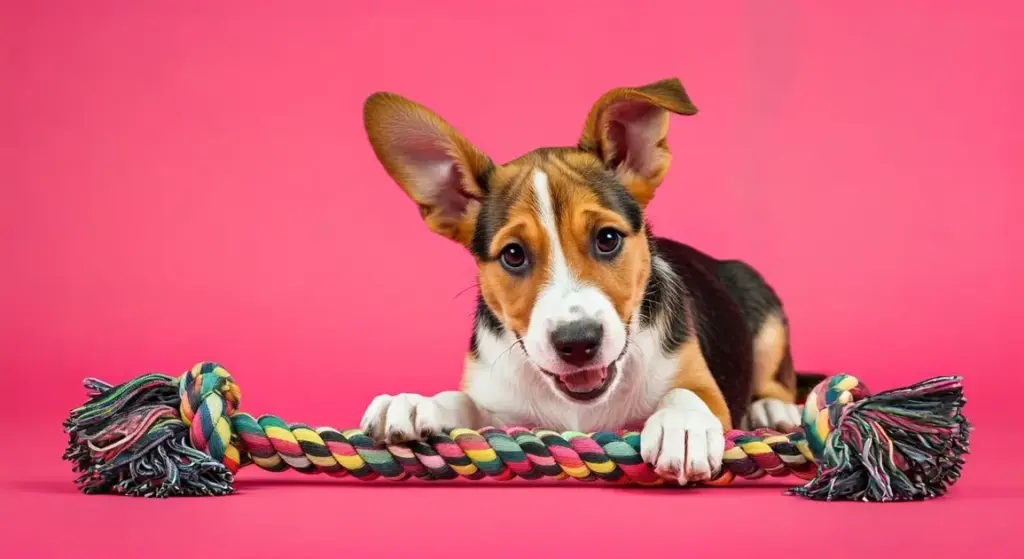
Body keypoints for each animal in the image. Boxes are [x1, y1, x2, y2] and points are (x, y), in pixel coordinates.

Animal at [356, 76, 819, 481]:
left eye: (608, 239)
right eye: (513, 255)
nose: (577, 342)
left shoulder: (709, 390)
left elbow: (686, 394)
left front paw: (682, 426)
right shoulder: (497, 401)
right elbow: (463, 401)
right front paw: (415, 403)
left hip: (764, 308)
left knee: (777, 380)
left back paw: (771, 410)